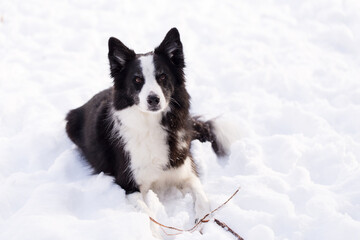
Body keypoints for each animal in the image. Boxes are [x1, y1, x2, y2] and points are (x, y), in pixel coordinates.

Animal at [64, 27, 233, 225]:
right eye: (137, 80)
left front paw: (202, 220)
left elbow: (201, 196)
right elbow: (149, 215)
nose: (153, 99)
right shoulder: (129, 185)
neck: (151, 124)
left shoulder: (186, 171)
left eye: (162, 76)